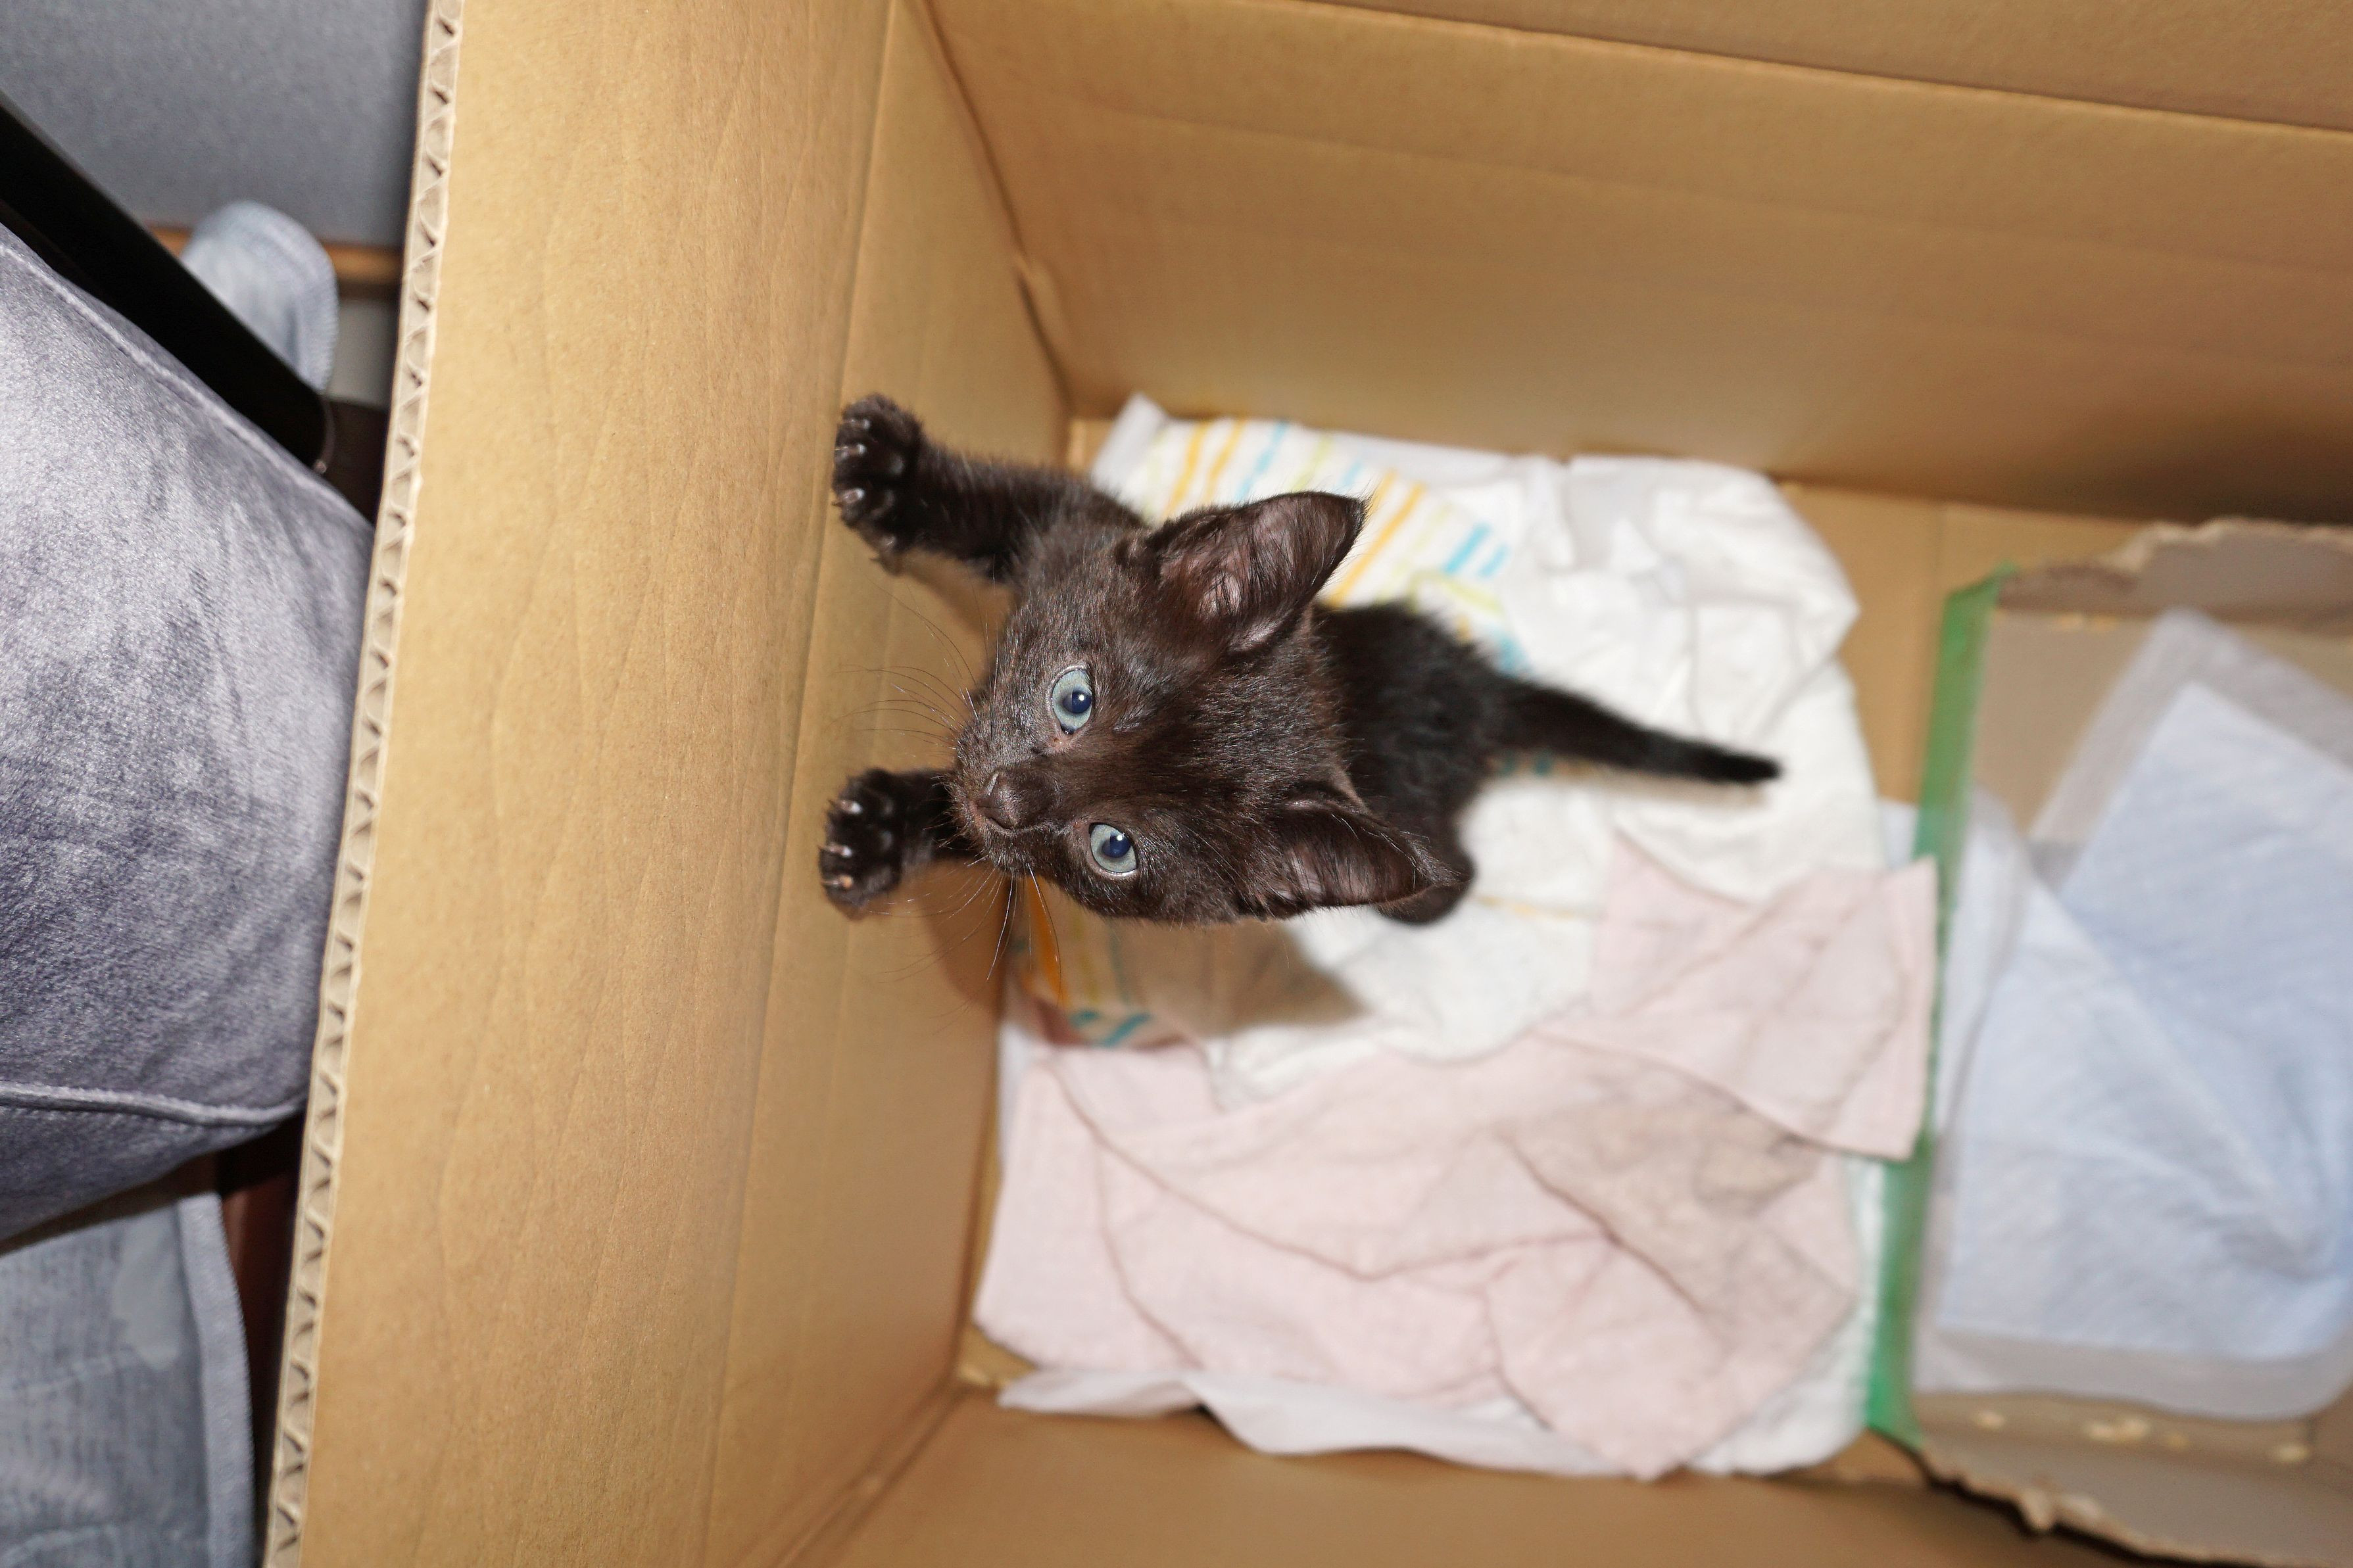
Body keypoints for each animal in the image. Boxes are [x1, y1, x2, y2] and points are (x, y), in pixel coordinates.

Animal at [819, 395, 1778, 926]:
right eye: (1074, 698)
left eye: (1113, 846)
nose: (1005, 798)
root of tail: (1479, 693)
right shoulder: (1087, 529)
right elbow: (1007, 501)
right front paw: (894, 474)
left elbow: (986, 845)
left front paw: (892, 827)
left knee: (1456, 880)